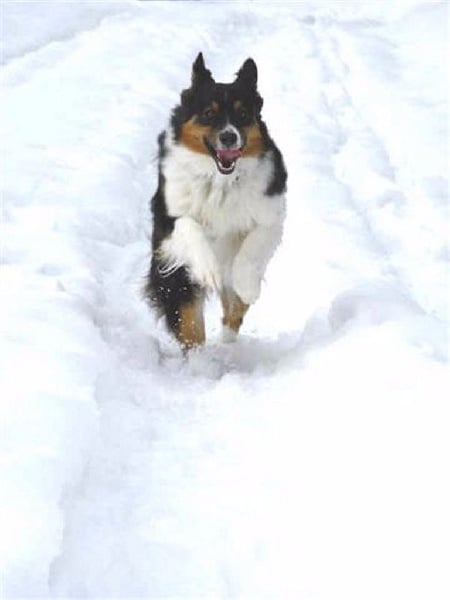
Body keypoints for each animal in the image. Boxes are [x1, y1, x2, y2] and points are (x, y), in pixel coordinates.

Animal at [147, 54, 288, 350]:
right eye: (208, 113)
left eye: (243, 114)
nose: (228, 136)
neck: (220, 180)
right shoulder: (168, 218)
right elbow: (190, 226)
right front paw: (209, 270)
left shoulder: (271, 212)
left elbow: (251, 249)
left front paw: (247, 286)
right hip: (176, 278)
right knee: (190, 324)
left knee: (233, 309)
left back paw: (227, 339)